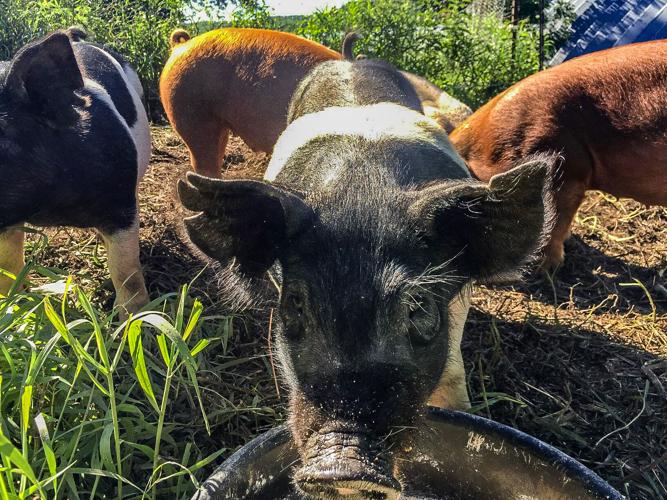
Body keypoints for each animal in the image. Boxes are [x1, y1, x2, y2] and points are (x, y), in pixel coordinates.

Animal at [0, 29, 150, 314]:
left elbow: (126, 269)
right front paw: (14, 305)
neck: (47, 207)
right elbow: (8, 265)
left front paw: (135, 318)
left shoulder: (120, 202)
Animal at [179, 55, 555, 497]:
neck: (362, 191)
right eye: (294, 305)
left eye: (419, 309)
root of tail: (347, 59)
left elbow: (453, 374)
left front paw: (466, 413)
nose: (344, 466)